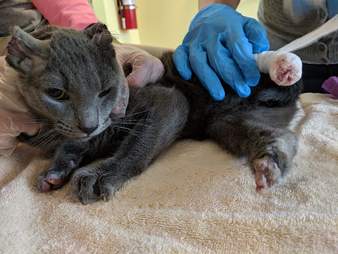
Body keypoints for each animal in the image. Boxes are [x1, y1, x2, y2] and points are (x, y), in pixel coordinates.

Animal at [5, 23, 302, 204]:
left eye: (105, 91)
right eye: (57, 94)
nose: (90, 123)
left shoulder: (168, 100)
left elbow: (136, 145)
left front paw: (101, 175)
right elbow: (72, 146)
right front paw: (54, 172)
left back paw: (283, 66)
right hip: (227, 122)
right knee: (283, 136)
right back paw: (267, 164)